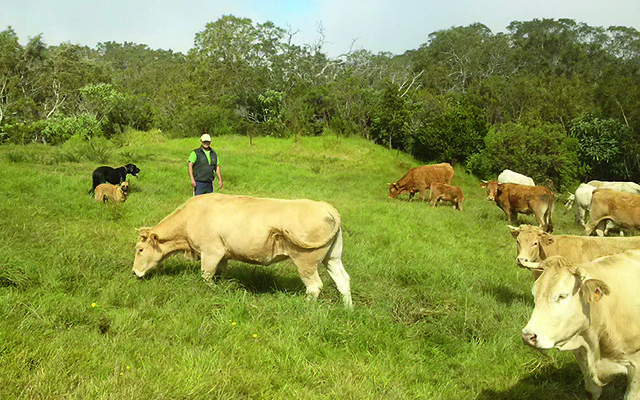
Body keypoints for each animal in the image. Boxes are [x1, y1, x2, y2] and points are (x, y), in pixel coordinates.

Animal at [134, 194, 356, 310]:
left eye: (140, 249)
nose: (135, 272)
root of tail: (326, 207)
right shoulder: (223, 254)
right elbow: (219, 274)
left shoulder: (211, 251)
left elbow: (206, 275)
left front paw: (212, 292)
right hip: (332, 257)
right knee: (343, 279)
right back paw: (348, 309)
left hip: (306, 261)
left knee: (314, 286)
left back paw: (305, 308)